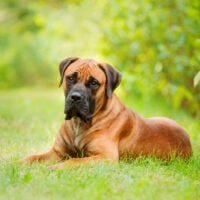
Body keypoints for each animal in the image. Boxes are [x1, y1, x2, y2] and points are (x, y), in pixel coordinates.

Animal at [21, 57, 192, 169]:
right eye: (70, 78)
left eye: (94, 83)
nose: (75, 97)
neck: (79, 123)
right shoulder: (57, 152)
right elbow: (32, 157)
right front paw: (17, 164)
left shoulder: (105, 157)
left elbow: (74, 161)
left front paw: (55, 168)